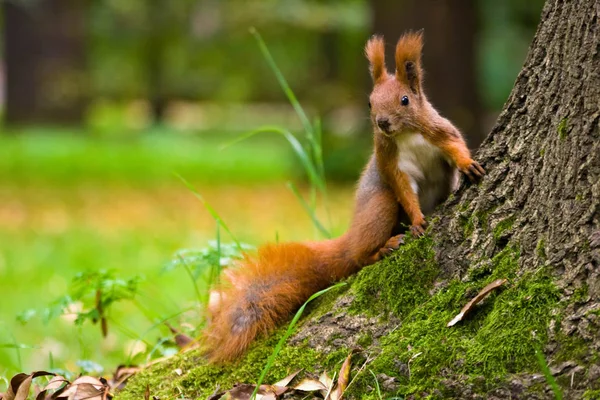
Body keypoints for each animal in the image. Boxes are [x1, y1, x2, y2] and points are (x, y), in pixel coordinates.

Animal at [204, 31, 486, 362]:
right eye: (370, 102)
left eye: (405, 100)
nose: (382, 123)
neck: (405, 134)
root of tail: (350, 239)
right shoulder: (390, 162)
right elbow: (403, 189)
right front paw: (417, 220)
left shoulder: (438, 130)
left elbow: (455, 146)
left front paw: (467, 165)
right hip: (380, 208)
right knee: (360, 256)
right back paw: (385, 247)